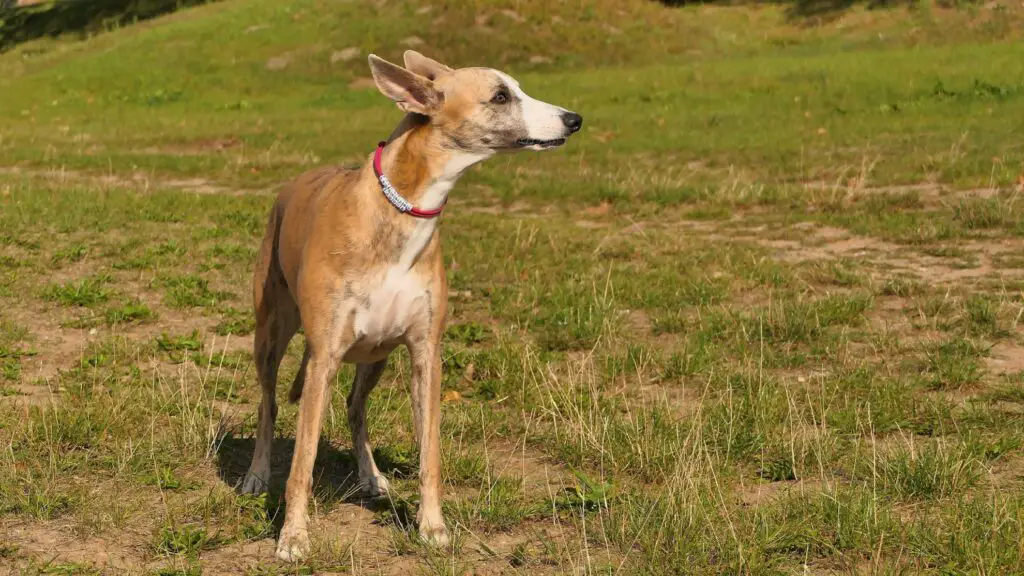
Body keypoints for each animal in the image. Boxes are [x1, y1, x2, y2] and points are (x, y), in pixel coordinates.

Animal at [235, 51, 581, 557]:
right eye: (500, 96)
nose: (574, 119)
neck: (400, 210)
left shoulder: (425, 354)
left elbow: (429, 452)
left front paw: (431, 525)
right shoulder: (324, 358)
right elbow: (301, 462)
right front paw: (293, 537)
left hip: (375, 354)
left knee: (355, 407)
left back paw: (371, 475)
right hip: (273, 334)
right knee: (269, 404)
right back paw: (257, 474)